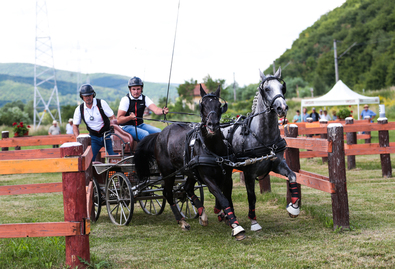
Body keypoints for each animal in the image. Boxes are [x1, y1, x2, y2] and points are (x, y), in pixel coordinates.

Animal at [136, 85, 248, 239]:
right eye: (202, 105)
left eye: (219, 105)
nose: (212, 125)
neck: (213, 149)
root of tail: (160, 134)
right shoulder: (207, 178)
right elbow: (222, 198)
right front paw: (236, 227)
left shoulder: (227, 177)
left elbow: (227, 198)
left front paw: (229, 219)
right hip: (168, 172)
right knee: (168, 193)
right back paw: (182, 221)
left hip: (189, 171)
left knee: (187, 188)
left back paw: (202, 214)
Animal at [223, 67, 300, 230]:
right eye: (266, 88)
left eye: (282, 87)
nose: (282, 107)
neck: (263, 137)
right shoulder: (249, 173)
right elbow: (251, 196)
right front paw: (254, 221)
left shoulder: (278, 164)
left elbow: (292, 176)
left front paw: (294, 208)